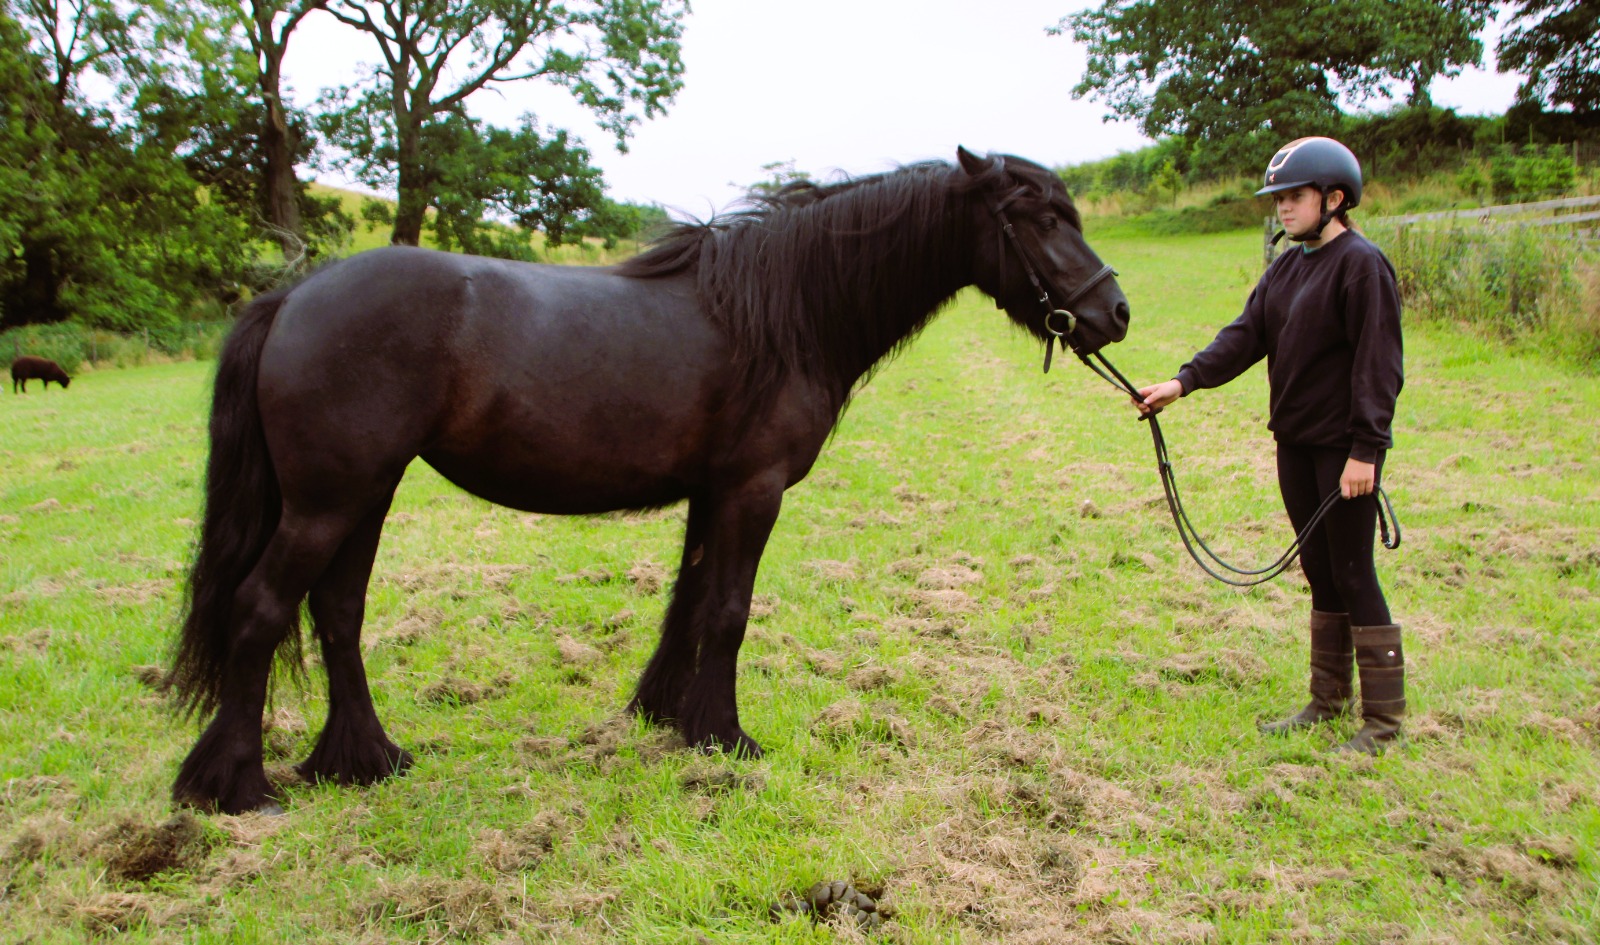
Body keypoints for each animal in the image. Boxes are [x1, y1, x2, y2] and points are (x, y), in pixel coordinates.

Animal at [165, 147, 1130, 814]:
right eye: (1034, 217)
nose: (1114, 312)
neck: (785, 312)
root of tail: (292, 297)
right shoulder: (753, 488)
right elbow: (730, 610)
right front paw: (728, 736)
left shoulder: (714, 491)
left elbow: (690, 604)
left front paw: (670, 717)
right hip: (328, 501)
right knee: (260, 608)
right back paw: (238, 787)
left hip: (362, 495)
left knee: (336, 612)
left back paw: (364, 761)